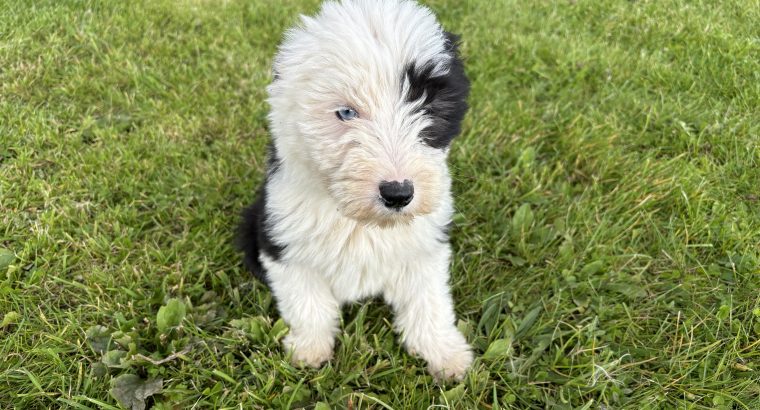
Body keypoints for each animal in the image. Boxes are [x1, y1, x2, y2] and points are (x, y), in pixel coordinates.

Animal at [240, 0, 472, 380]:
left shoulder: (424, 246)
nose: (398, 194)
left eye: (429, 107)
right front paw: (309, 350)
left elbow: (429, 301)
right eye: (346, 112)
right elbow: (309, 302)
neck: (359, 221)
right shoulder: (283, 243)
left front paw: (446, 354)